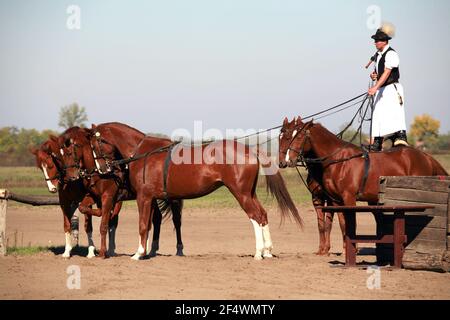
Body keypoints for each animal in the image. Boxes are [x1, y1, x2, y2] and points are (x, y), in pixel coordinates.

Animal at [59, 127, 185, 258]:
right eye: (60, 154)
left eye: (69, 153)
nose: (69, 177)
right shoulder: (94, 196)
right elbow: (84, 209)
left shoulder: (107, 196)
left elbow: (103, 223)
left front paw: (103, 252)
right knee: (156, 219)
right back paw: (151, 250)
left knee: (176, 221)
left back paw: (179, 250)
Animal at [89, 122, 304, 260]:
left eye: (95, 144)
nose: (102, 169)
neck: (143, 153)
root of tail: (250, 150)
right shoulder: (151, 199)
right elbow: (149, 226)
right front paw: (146, 252)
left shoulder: (144, 198)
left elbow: (142, 226)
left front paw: (137, 254)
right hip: (250, 193)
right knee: (263, 215)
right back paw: (267, 251)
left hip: (241, 194)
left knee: (256, 216)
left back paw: (259, 253)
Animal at [280, 117, 448, 252]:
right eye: (284, 137)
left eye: (299, 136)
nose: (286, 160)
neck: (339, 160)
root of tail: (426, 156)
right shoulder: (336, 200)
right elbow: (342, 224)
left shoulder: (349, 199)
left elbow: (350, 223)